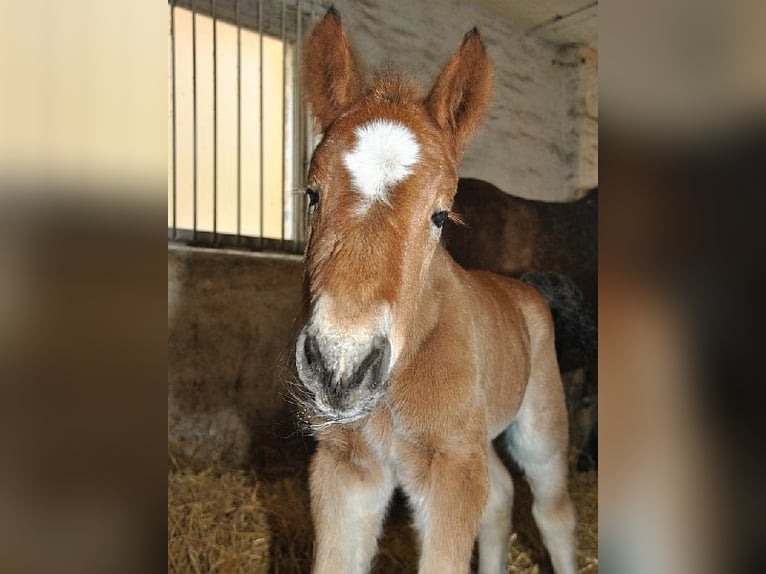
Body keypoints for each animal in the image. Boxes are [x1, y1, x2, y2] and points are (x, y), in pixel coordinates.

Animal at [292, 8, 576, 574]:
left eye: (440, 215)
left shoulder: (452, 473)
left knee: (552, 511)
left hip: (540, 428)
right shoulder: (346, 468)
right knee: (502, 498)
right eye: (311, 194)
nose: (341, 367)